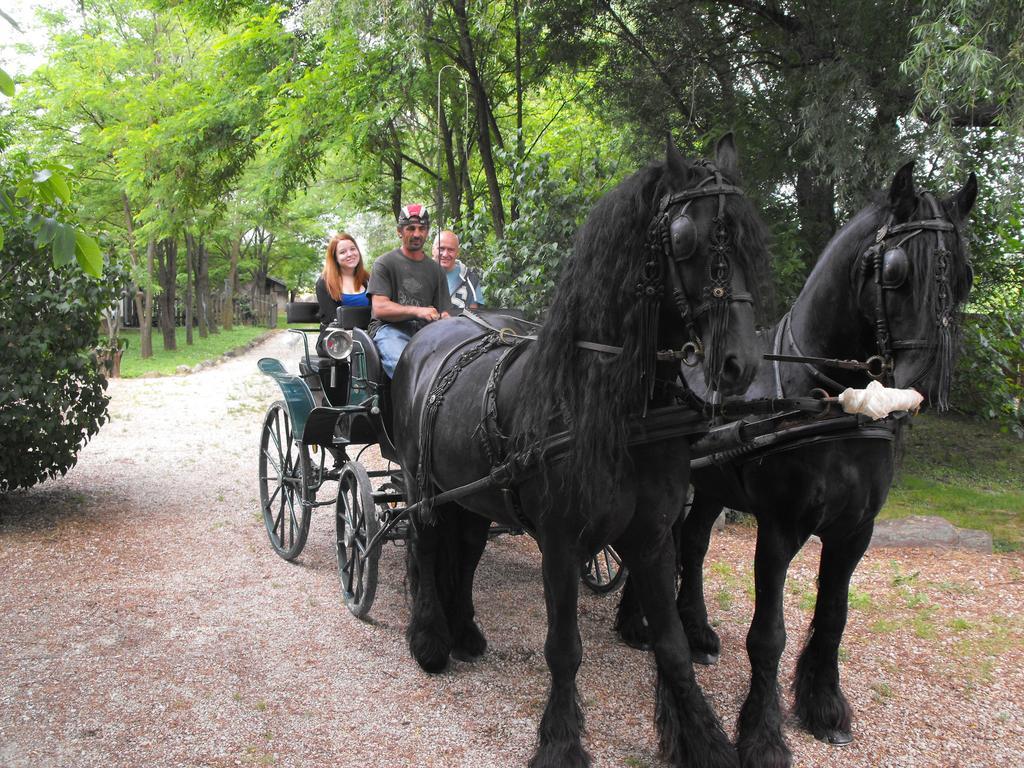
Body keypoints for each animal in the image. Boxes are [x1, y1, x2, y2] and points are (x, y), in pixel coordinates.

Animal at [389, 138, 770, 768]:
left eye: (747, 236)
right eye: (686, 238)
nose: (739, 364)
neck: (612, 408)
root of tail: (431, 334)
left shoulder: (652, 537)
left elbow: (671, 645)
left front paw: (701, 740)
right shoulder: (562, 543)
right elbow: (564, 648)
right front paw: (562, 743)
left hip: (472, 496)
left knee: (464, 552)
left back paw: (465, 631)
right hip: (423, 489)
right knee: (423, 546)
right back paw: (429, 639)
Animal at [610, 162, 978, 768]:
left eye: (965, 273)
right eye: (897, 271)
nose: (922, 385)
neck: (830, 402)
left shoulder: (856, 531)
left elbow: (833, 616)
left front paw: (824, 707)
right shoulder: (780, 528)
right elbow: (768, 636)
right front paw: (762, 735)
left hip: (710, 486)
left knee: (691, 543)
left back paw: (695, 630)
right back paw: (636, 621)